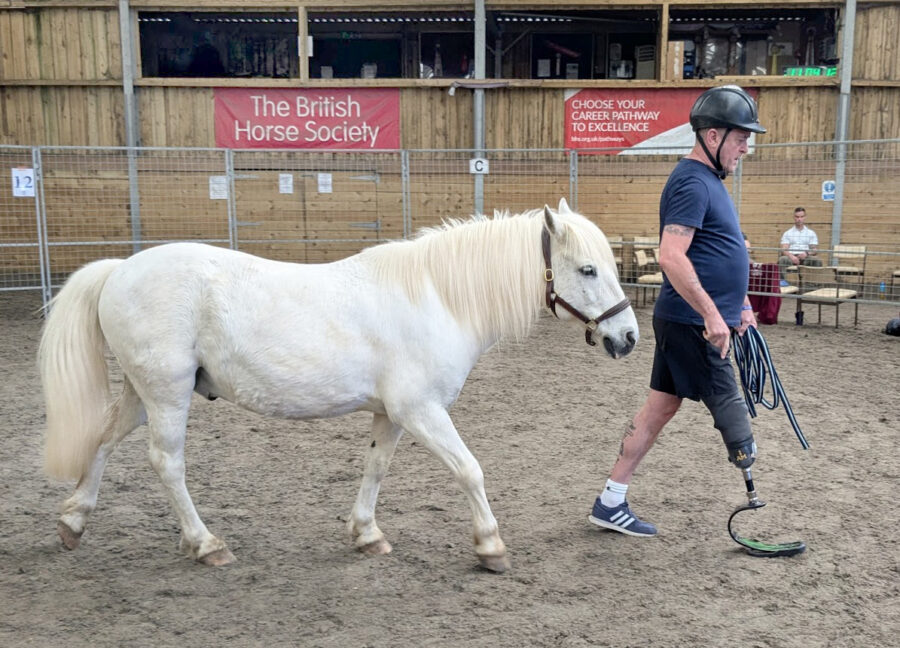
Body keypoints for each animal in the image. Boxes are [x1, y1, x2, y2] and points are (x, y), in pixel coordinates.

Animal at [39, 198, 638, 573]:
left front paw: (367, 534)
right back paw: (206, 545)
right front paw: (490, 547)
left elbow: (375, 468)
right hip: (166, 394)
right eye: (587, 270)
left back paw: (73, 522)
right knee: (167, 463)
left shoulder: (391, 414)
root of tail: (119, 270)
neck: (436, 296)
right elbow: (469, 470)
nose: (628, 337)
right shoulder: (421, 410)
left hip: (144, 394)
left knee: (101, 442)